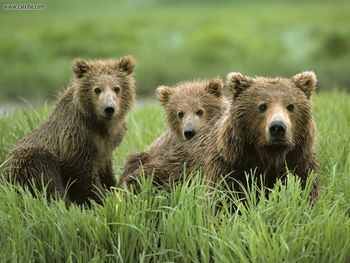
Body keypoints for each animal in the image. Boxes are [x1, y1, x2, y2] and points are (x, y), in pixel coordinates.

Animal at [3, 56, 136, 206]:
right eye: (97, 89)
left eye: (117, 88)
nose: (109, 108)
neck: (100, 125)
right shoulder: (77, 135)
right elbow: (80, 171)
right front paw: (101, 199)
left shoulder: (107, 145)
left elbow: (106, 169)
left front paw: (114, 188)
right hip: (28, 162)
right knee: (46, 176)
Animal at [121, 71, 320, 201]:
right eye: (262, 106)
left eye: (291, 106)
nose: (278, 127)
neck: (268, 155)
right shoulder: (228, 165)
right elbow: (222, 199)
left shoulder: (299, 162)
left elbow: (307, 191)